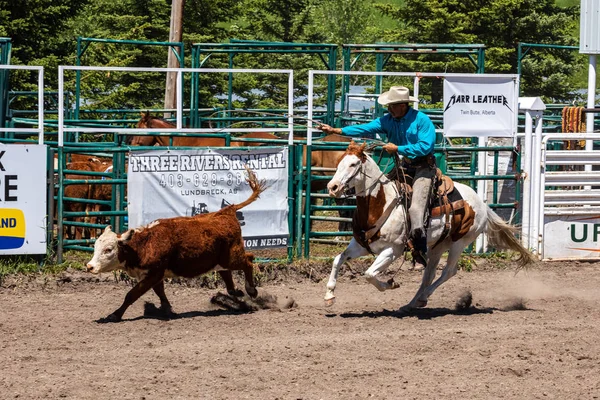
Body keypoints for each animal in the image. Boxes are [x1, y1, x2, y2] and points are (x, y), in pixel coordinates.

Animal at [86, 169, 264, 322]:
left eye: (108, 249)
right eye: (95, 248)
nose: (89, 266)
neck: (144, 245)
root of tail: (227, 211)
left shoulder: (153, 274)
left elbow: (132, 294)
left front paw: (115, 315)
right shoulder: (155, 275)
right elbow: (160, 293)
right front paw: (167, 309)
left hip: (232, 257)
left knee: (248, 261)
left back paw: (251, 290)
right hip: (220, 260)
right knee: (228, 273)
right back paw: (236, 293)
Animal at [324, 142, 536, 310]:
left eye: (353, 164)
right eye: (339, 163)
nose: (332, 187)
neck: (381, 204)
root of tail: (482, 204)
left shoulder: (393, 250)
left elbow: (368, 274)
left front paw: (391, 284)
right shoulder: (361, 245)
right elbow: (337, 259)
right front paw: (329, 295)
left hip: (460, 242)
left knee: (448, 271)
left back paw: (423, 298)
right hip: (437, 245)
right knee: (429, 273)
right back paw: (413, 303)